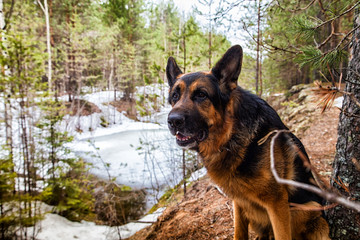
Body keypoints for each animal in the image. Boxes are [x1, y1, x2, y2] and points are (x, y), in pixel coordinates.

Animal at [166, 45, 330, 240]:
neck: (231, 135)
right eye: (175, 96)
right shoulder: (239, 201)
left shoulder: (277, 205)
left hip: (308, 211)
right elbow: (239, 232)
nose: (173, 121)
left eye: (201, 94)